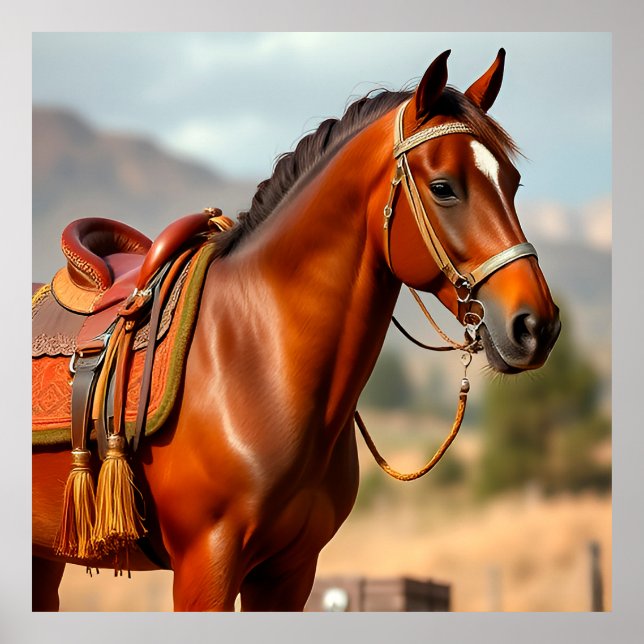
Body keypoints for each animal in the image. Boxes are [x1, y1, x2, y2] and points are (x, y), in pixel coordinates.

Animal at [32, 49, 561, 611]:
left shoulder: (290, 572)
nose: (537, 325)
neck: (255, 354)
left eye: (512, 182)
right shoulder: (205, 565)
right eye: (443, 188)